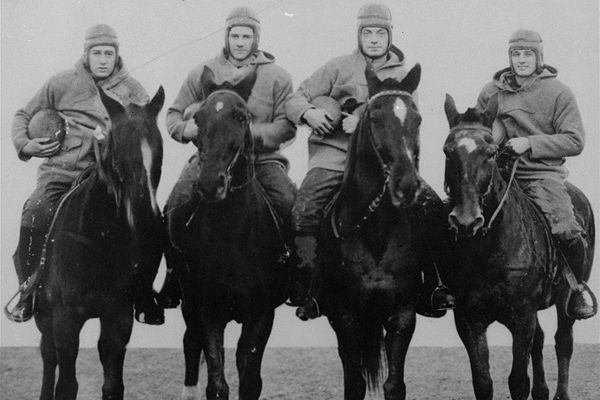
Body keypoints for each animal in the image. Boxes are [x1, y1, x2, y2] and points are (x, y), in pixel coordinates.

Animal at [33, 87, 165, 400]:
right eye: (117, 157)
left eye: (158, 157)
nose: (147, 217)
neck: (97, 243)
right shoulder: (65, 320)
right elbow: (66, 385)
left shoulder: (118, 318)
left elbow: (113, 385)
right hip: (44, 316)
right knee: (48, 355)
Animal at [166, 66, 290, 400]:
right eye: (198, 118)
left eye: (242, 116)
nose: (211, 184)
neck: (233, 235)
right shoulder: (207, 311)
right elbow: (217, 384)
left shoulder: (261, 314)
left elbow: (249, 381)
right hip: (188, 304)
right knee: (190, 344)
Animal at [314, 64, 436, 398]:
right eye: (375, 117)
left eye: (418, 119)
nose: (406, 185)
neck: (375, 230)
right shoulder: (344, 316)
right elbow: (354, 383)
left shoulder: (402, 315)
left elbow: (394, 384)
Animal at [440, 94, 596, 400]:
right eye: (447, 152)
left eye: (490, 152)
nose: (465, 220)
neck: (488, 250)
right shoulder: (468, 320)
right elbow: (483, 383)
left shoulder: (522, 317)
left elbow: (518, 381)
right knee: (541, 340)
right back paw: (543, 391)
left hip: (565, 300)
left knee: (563, 341)